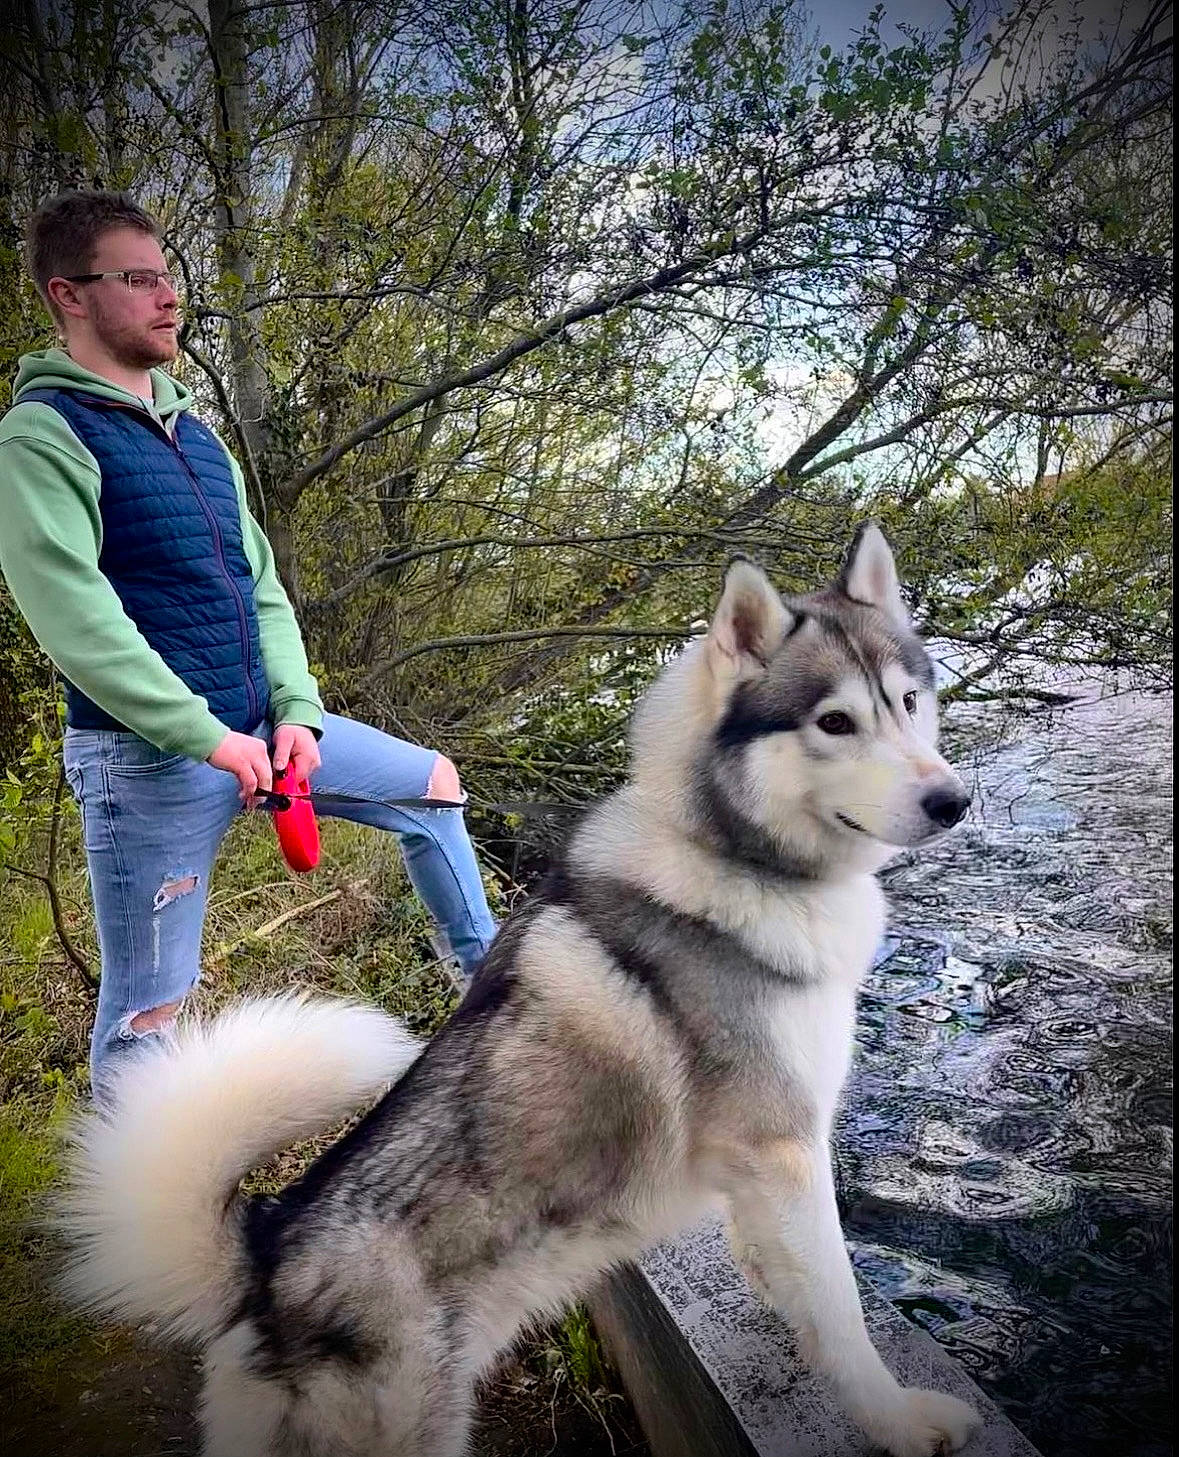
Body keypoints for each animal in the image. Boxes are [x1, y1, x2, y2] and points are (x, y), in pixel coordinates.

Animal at [58, 524, 980, 1457]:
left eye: (908, 701)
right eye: (834, 721)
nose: (954, 800)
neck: (730, 856)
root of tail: (266, 1255)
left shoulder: (761, 1177)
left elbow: (792, 1285)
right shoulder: (782, 1148)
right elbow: (840, 1309)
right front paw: (896, 1418)